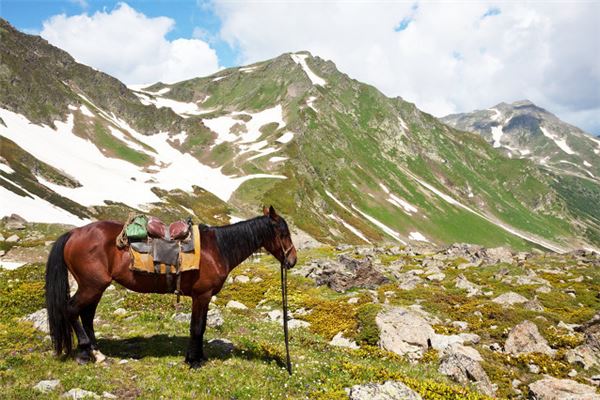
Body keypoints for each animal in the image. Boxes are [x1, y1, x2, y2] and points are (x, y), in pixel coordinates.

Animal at [45, 206, 298, 368]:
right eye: (283, 233)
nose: (292, 260)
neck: (218, 248)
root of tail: (74, 233)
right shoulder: (201, 295)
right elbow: (197, 328)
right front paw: (193, 361)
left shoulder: (203, 297)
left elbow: (201, 327)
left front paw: (198, 357)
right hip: (91, 286)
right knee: (72, 310)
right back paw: (85, 352)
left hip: (96, 287)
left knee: (86, 315)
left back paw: (97, 353)